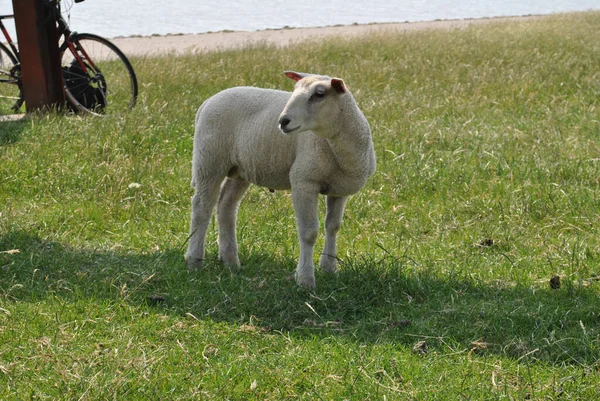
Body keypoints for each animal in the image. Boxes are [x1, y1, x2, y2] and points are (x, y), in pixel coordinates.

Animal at [185, 70, 378, 286]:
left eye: (319, 94)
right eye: (294, 90)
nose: (283, 121)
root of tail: (207, 102)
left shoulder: (340, 190)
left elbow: (333, 227)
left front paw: (329, 267)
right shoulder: (303, 181)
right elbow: (308, 233)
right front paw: (305, 279)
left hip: (241, 168)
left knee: (226, 205)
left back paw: (231, 261)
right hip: (210, 161)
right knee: (201, 207)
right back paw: (194, 260)